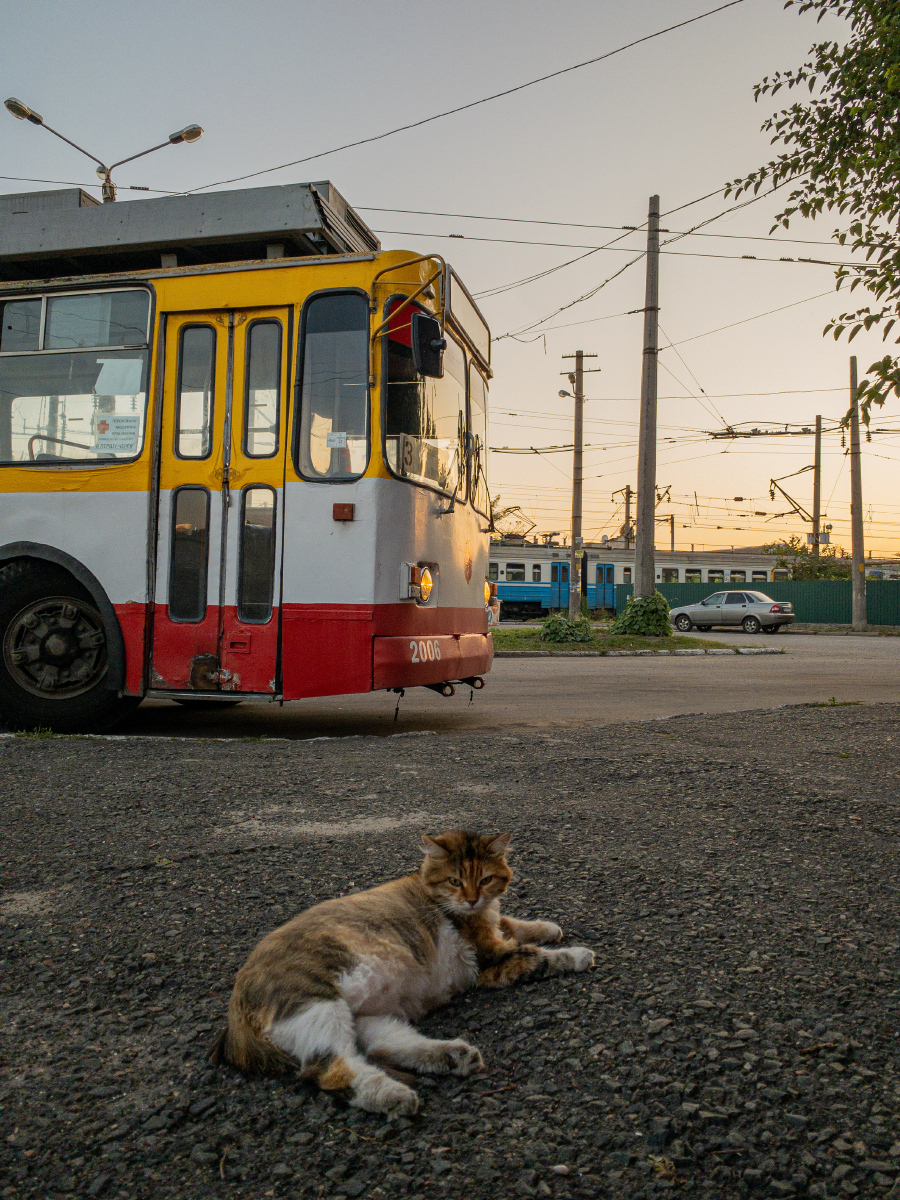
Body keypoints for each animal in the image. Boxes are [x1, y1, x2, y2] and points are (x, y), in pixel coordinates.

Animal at [210, 825, 592, 1113]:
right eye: (455, 881)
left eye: (484, 880)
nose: (471, 899)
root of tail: (234, 1017)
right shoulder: (488, 958)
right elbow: (538, 955)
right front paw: (577, 954)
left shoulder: (492, 926)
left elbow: (513, 923)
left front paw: (546, 926)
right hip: (316, 1004)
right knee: (332, 1069)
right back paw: (392, 1095)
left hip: (358, 1017)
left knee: (380, 1045)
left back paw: (452, 1056)